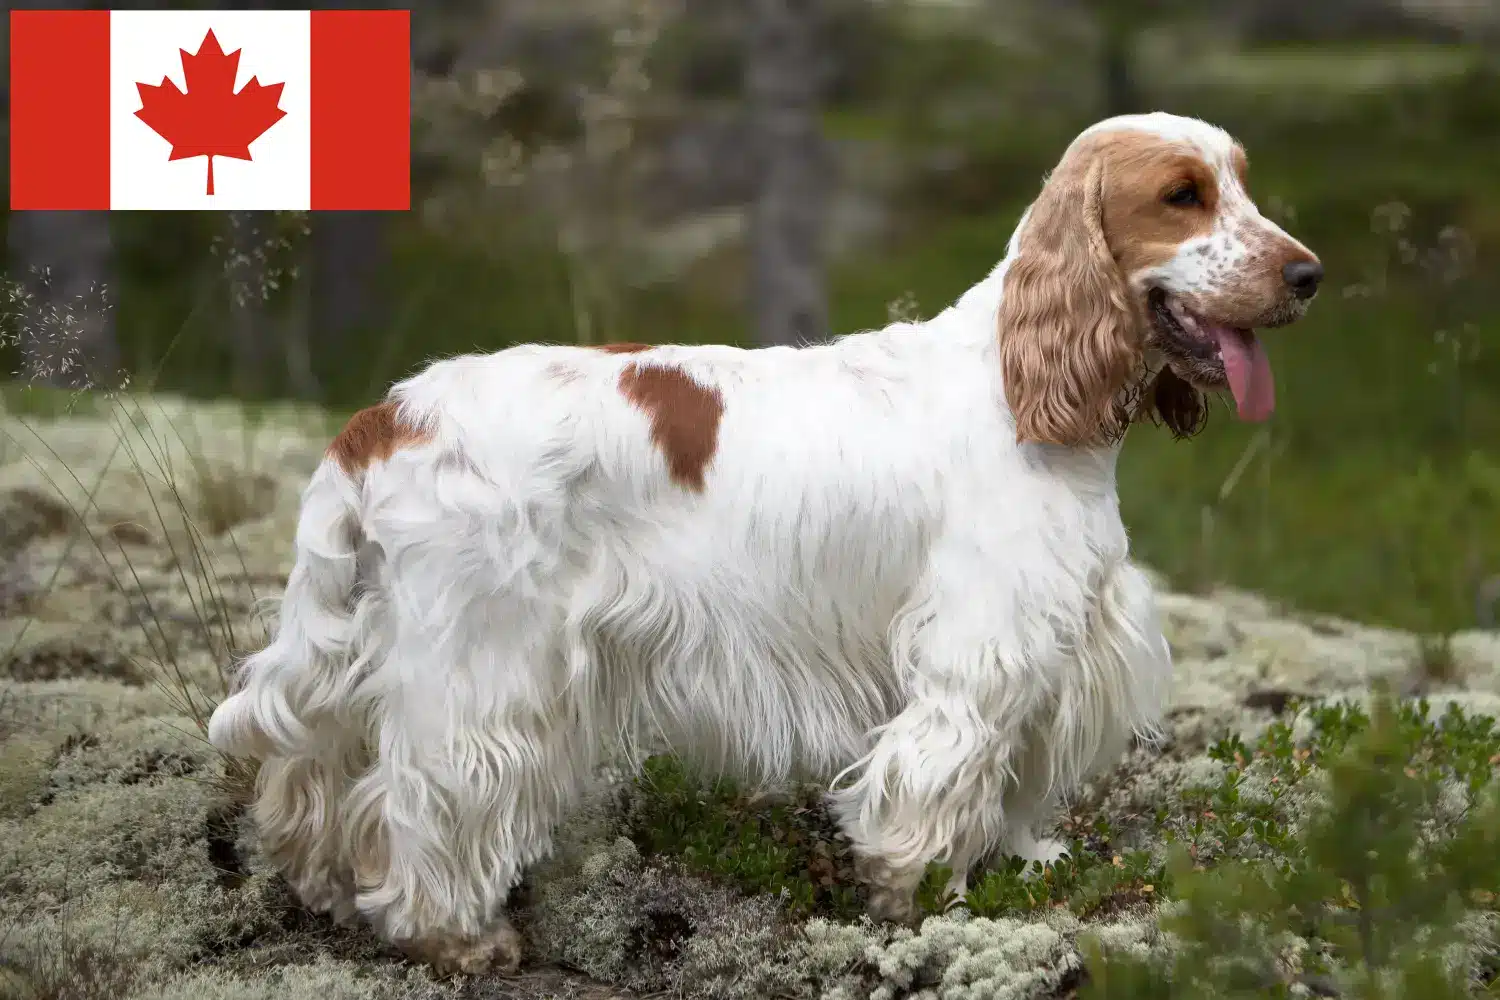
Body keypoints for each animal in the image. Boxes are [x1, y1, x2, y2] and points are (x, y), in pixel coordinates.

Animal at [205, 113, 1320, 971]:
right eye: (1181, 195)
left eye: (1244, 183)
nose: (1307, 274)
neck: (1023, 384)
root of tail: (387, 414)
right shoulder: (982, 647)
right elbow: (941, 778)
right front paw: (924, 899)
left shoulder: (1049, 643)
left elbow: (1008, 785)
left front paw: (1017, 863)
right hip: (483, 660)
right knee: (429, 794)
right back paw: (457, 936)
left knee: (311, 778)